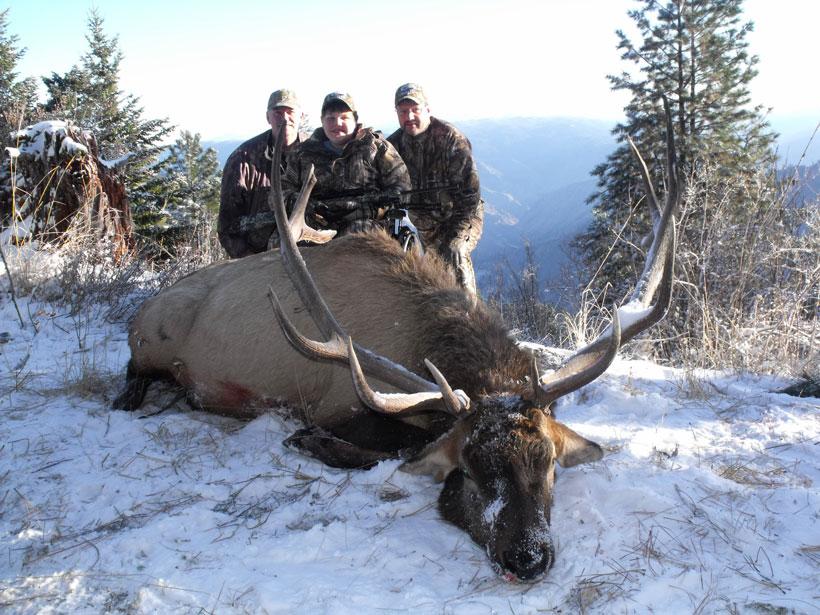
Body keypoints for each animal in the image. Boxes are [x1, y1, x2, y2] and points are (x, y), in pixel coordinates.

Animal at [114, 117, 678, 582]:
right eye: (470, 469)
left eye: (549, 464)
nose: (528, 558)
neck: (418, 335)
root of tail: (144, 310)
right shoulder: (337, 403)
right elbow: (398, 446)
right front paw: (309, 441)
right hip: (151, 342)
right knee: (132, 375)